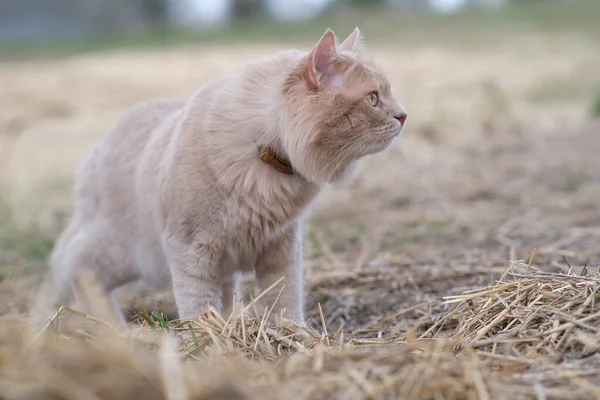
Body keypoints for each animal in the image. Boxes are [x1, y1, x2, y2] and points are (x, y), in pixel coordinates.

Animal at [49, 27, 408, 324]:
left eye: (388, 94)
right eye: (373, 98)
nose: (403, 115)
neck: (264, 151)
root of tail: (99, 146)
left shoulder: (281, 247)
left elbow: (284, 301)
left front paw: (291, 335)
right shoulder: (190, 251)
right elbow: (197, 308)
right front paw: (207, 343)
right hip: (130, 252)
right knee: (76, 266)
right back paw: (115, 330)